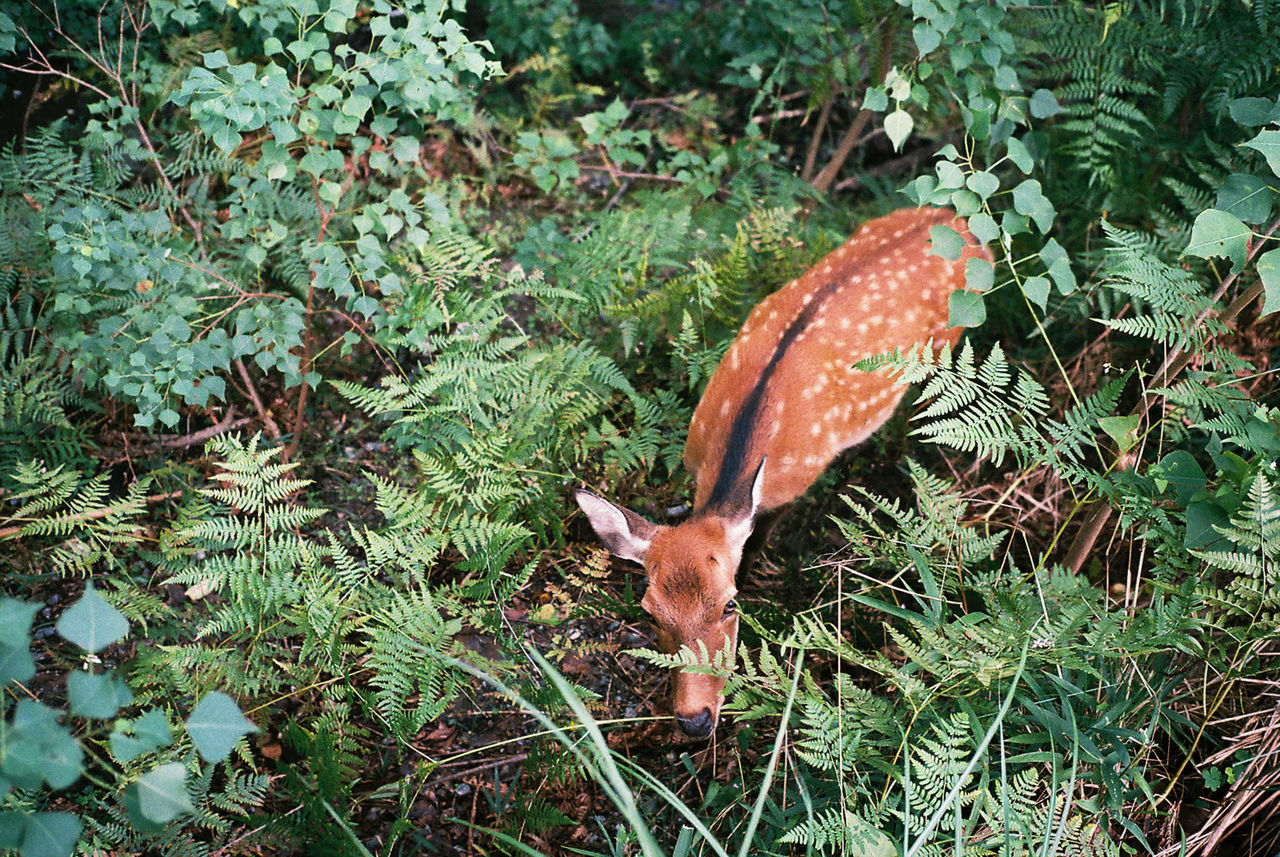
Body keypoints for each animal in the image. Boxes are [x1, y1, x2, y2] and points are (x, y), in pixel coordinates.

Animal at [576, 208, 983, 736]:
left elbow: (755, 543)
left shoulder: (790, 486)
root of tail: (956, 218)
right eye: (649, 613)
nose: (694, 720)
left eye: (730, 603)